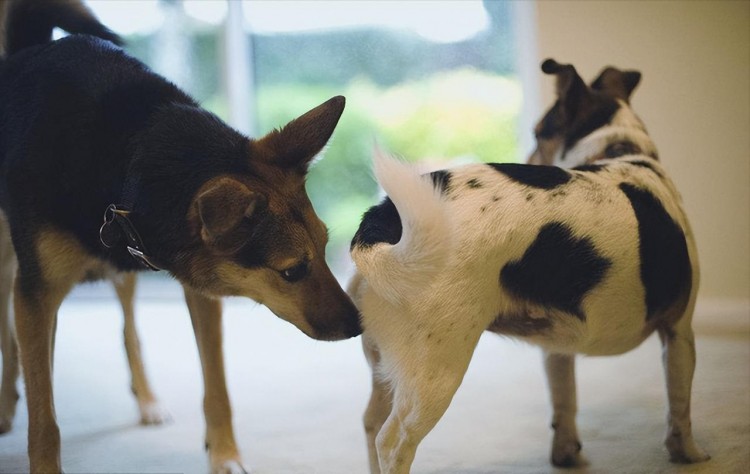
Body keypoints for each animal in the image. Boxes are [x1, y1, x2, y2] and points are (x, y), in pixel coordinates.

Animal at [0, 1, 362, 472]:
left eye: (324, 249)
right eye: (292, 271)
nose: (359, 325)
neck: (130, 158)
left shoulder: (201, 285)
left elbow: (217, 386)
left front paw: (224, 456)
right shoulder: (37, 292)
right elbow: (44, 415)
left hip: (119, 273)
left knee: (129, 331)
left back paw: (147, 400)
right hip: (11, 263)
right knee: (13, 335)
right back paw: (7, 403)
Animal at [350, 60, 708, 474]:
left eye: (538, 133)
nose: (530, 154)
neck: (621, 153)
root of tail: (383, 218)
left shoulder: (557, 348)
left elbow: (564, 402)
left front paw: (567, 455)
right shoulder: (679, 331)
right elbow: (680, 407)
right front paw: (690, 455)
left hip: (386, 366)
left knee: (370, 423)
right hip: (434, 371)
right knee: (392, 441)